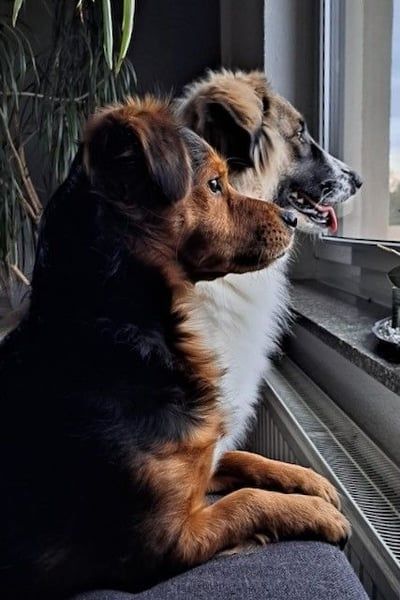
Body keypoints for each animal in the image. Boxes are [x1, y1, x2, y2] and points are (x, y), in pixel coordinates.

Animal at [0, 97, 349, 599]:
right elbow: (245, 501)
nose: (290, 219)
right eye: (215, 185)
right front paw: (316, 513)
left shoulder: (199, 469)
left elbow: (242, 455)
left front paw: (308, 481)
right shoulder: (167, 542)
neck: (127, 336)